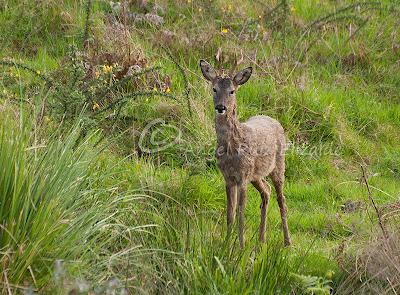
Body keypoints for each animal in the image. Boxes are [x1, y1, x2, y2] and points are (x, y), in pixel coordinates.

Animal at [199, 60, 290, 250]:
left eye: (232, 91)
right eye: (214, 89)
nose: (221, 107)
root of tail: (274, 119)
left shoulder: (242, 178)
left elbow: (241, 214)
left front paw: (241, 247)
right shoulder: (228, 178)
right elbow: (230, 213)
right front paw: (226, 245)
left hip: (278, 166)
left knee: (281, 199)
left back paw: (287, 242)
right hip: (256, 175)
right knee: (266, 191)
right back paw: (261, 240)